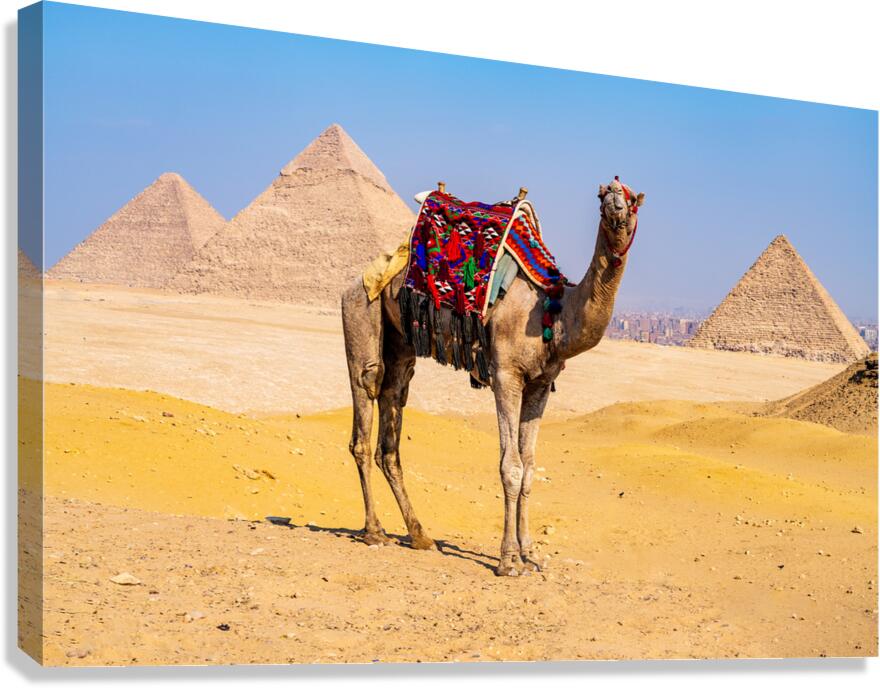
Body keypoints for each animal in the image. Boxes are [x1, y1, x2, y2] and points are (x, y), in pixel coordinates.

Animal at [341, 178, 645, 576]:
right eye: (601, 195)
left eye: (633, 199)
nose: (615, 207)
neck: (553, 311)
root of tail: (357, 280)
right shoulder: (505, 376)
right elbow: (510, 468)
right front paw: (508, 559)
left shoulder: (539, 386)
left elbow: (529, 469)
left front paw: (530, 552)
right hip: (362, 310)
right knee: (365, 397)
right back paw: (374, 532)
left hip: (401, 341)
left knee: (392, 421)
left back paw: (420, 536)